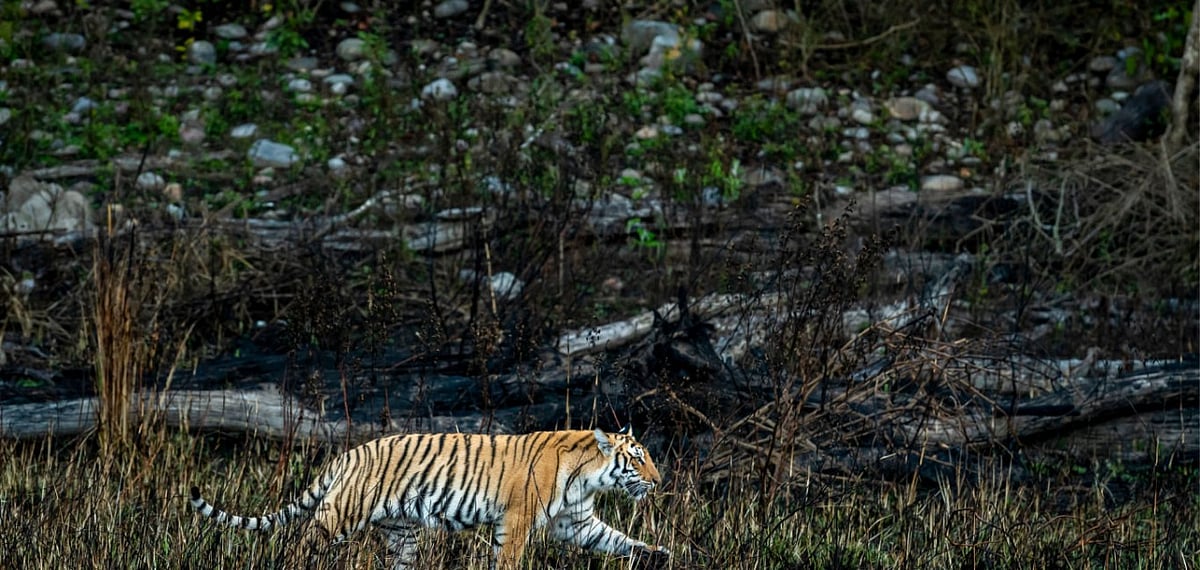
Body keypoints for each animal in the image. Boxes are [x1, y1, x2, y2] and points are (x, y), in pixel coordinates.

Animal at [190, 428, 670, 569]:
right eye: (638, 459)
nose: (659, 479)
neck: (588, 478)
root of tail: (351, 452)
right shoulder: (517, 520)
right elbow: (508, 559)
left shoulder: (577, 522)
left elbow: (616, 538)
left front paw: (656, 554)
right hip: (340, 513)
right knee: (301, 543)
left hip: (402, 533)